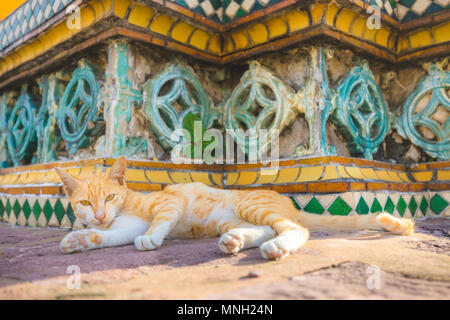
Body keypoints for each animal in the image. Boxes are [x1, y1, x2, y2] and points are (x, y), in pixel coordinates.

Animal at [56, 158, 414, 260]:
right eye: (86, 203)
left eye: (109, 198)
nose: (100, 215)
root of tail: (288, 203)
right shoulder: (121, 227)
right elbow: (110, 237)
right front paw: (81, 237)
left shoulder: (168, 202)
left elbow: (158, 222)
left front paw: (151, 237)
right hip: (229, 220)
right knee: (267, 229)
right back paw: (236, 241)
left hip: (250, 203)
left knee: (295, 229)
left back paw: (276, 248)